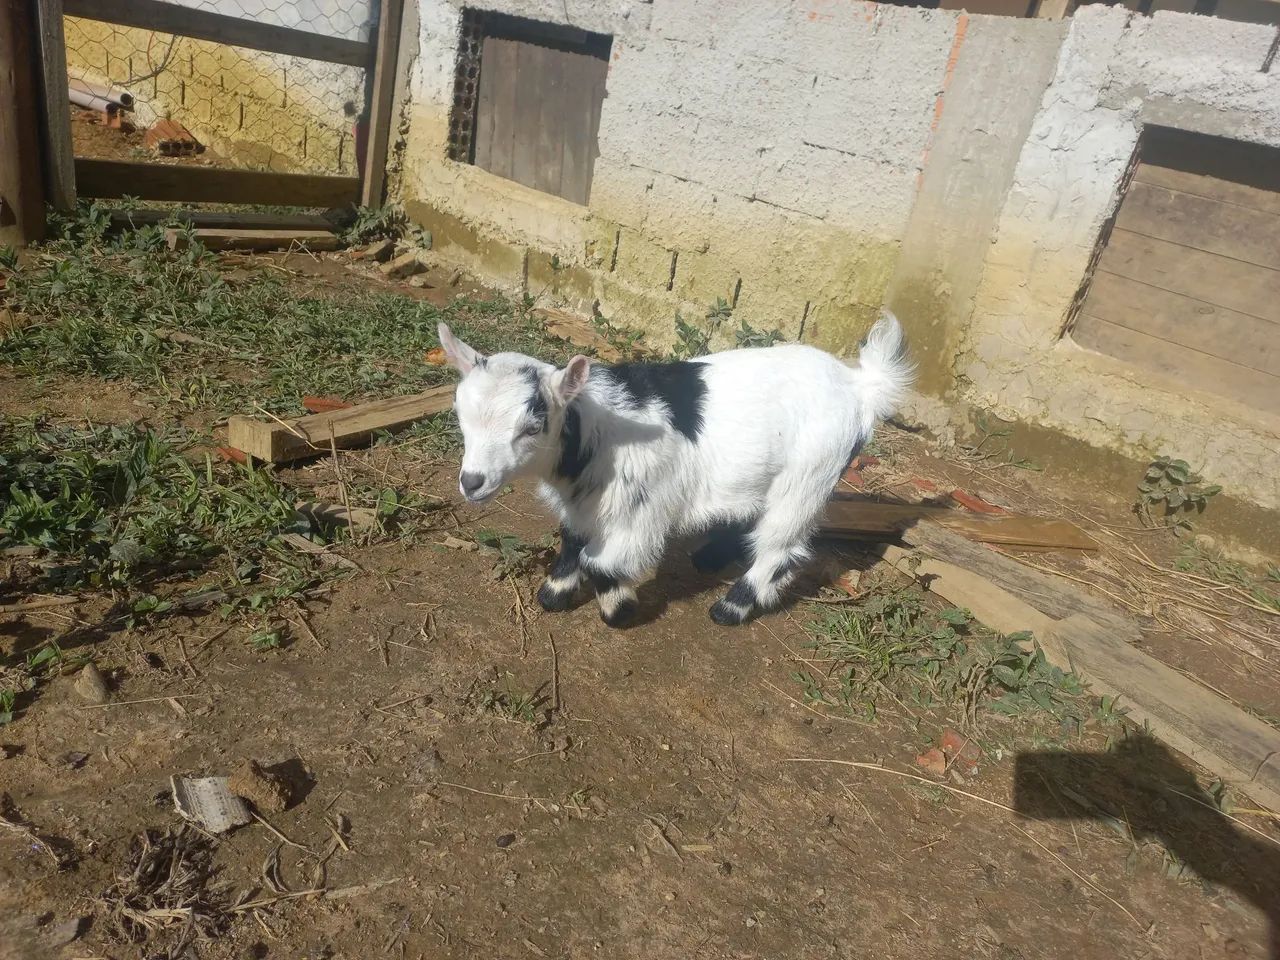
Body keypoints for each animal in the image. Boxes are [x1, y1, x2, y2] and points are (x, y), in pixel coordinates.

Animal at [437, 310, 912, 627]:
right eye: (460, 414)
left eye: (532, 427)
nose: (472, 482)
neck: (598, 428)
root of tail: (858, 385)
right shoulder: (584, 499)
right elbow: (572, 538)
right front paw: (554, 593)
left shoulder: (642, 509)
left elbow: (600, 561)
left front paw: (620, 609)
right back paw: (713, 555)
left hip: (808, 477)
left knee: (781, 545)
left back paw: (731, 608)